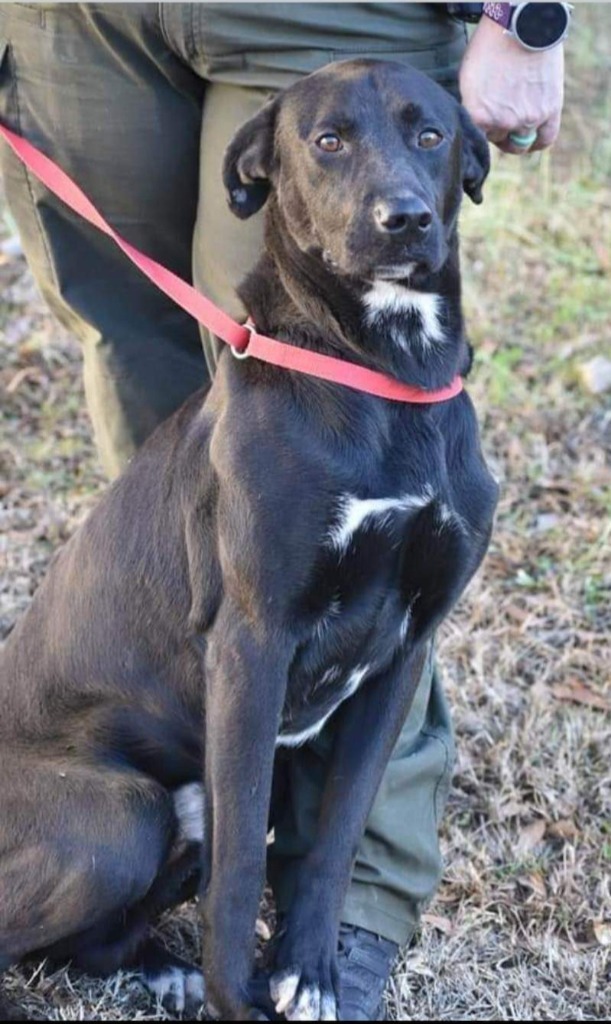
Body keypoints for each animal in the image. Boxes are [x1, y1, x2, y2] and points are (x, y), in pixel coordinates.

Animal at [0, 59, 495, 1019]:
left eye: (430, 134)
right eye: (327, 140)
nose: (405, 218)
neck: (384, 376)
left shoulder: (403, 652)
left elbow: (336, 839)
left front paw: (311, 973)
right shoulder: (251, 645)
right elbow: (236, 877)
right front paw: (243, 998)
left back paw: (159, 965)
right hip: (119, 816)